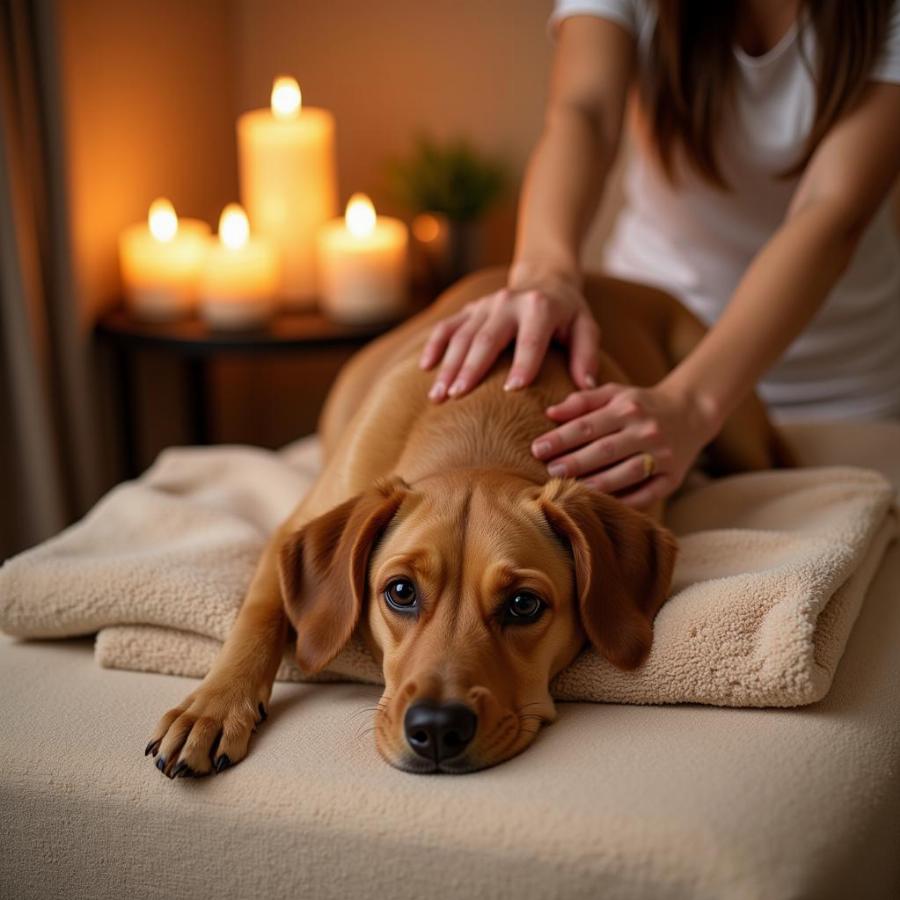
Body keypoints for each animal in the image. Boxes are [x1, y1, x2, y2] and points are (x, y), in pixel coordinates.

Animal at [146, 266, 788, 772]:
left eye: (524, 604)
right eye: (400, 592)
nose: (435, 730)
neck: (481, 427)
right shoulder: (288, 533)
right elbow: (256, 618)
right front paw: (212, 708)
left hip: (733, 425)